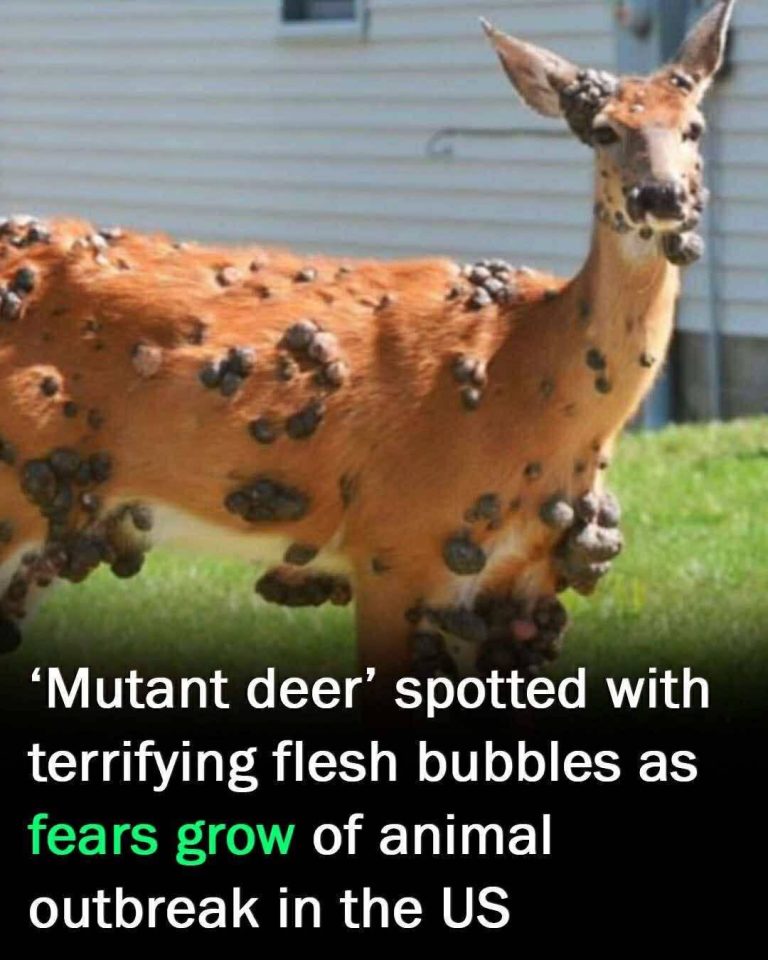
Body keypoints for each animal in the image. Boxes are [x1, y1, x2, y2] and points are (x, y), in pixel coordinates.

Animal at [0, 1, 735, 689]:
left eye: (693, 127)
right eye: (605, 129)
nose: (662, 195)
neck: (527, 376)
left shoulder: (521, 582)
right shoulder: (394, 545)